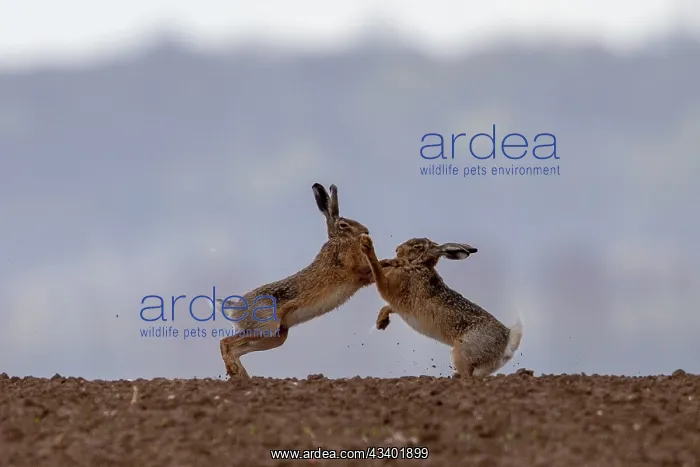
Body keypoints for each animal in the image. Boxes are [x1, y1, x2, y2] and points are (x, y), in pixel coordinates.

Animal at [216, 183, 394, 378]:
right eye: (343, 225)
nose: (366, 231)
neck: (340, 240)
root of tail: (234, 306)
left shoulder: (360, 278)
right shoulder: (355, 271)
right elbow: (374, 268)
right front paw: (393, 261)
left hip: (275, 336)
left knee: (237, 349)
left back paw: (242, 377)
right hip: (265, 327)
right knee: (226, 342)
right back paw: (236, 372)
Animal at [360, 235, 523, 378]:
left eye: (417, 246)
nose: (397, 249)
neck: (419, 265)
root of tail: (508, 339)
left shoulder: (390, 289)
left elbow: (378, 273)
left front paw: (367, 245)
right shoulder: (399, 305)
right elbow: (388, 307)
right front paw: (381, 323)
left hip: (462, 353)